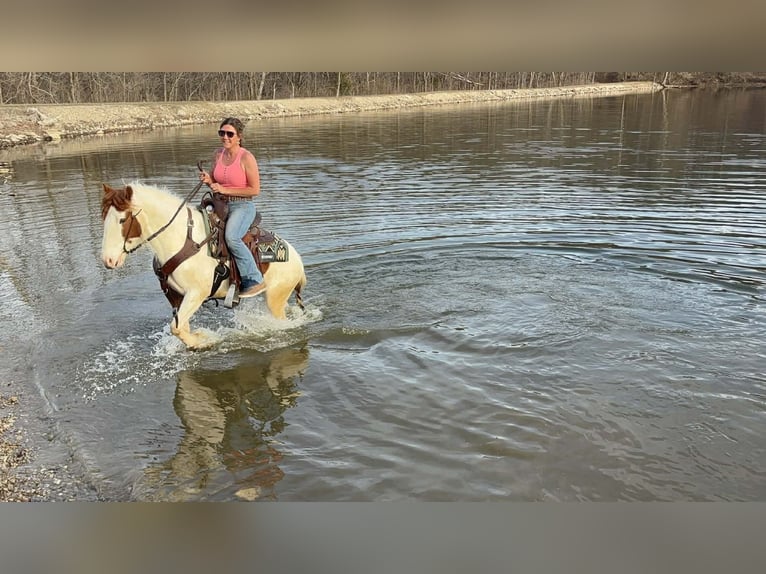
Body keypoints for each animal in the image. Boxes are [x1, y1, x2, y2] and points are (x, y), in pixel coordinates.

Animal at [100, 181, 306, 349]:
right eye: (104, 218)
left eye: (123, 219)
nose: (107, 260)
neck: (180, 239)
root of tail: (298, 262)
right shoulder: (175, 296)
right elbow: (181, 326)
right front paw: (198, 338)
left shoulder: (196, 294)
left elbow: (176, 328)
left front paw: (204, 341)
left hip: (275, 300)